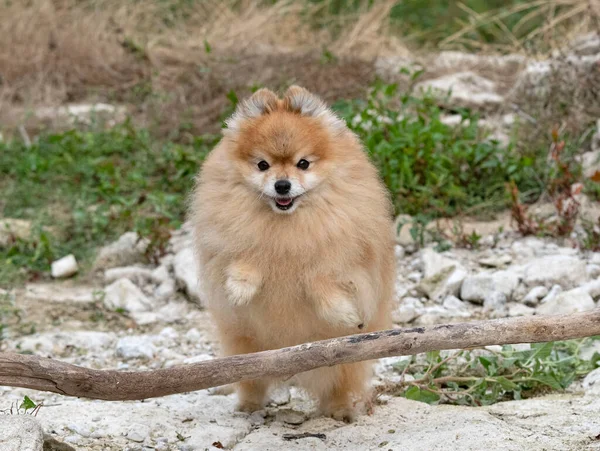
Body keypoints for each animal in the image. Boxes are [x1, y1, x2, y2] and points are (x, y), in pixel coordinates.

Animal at [192, 86, 396, 422]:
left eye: (303, 163)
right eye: (262, 165)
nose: (282, 185)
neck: (289, 226)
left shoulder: (345, 256)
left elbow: (320, 279)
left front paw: (343, 312)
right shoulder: (228, 241)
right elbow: (245, 259)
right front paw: (240, 289)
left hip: (343, 359)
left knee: (338, 386)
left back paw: (339, 411)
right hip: (245, 351)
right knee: (251, 381)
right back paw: (248, 406)